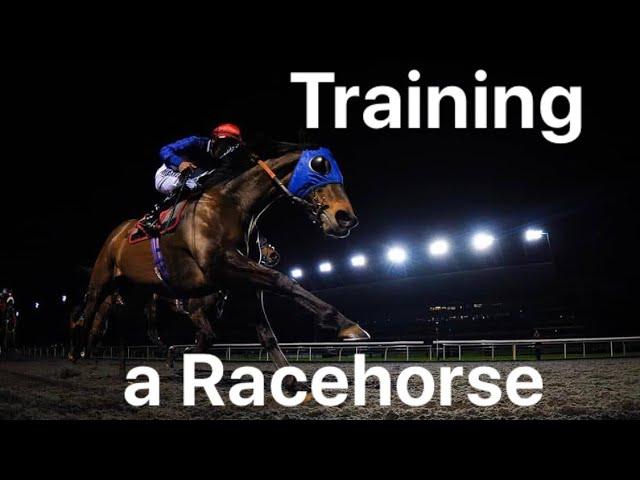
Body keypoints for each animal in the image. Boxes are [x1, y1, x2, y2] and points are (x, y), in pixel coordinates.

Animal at [69, 147, 370, 386]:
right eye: (318, 167)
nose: (346, 218)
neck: (234, 204)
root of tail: (117, 233)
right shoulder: (219, 269)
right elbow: (282, 281)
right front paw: (347, 325)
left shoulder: (242, 282)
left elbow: (264, 334)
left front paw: (291, 378)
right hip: (102, 280)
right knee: (88, 316)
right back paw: (76, 354)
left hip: (135, 293)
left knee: (122, 328)